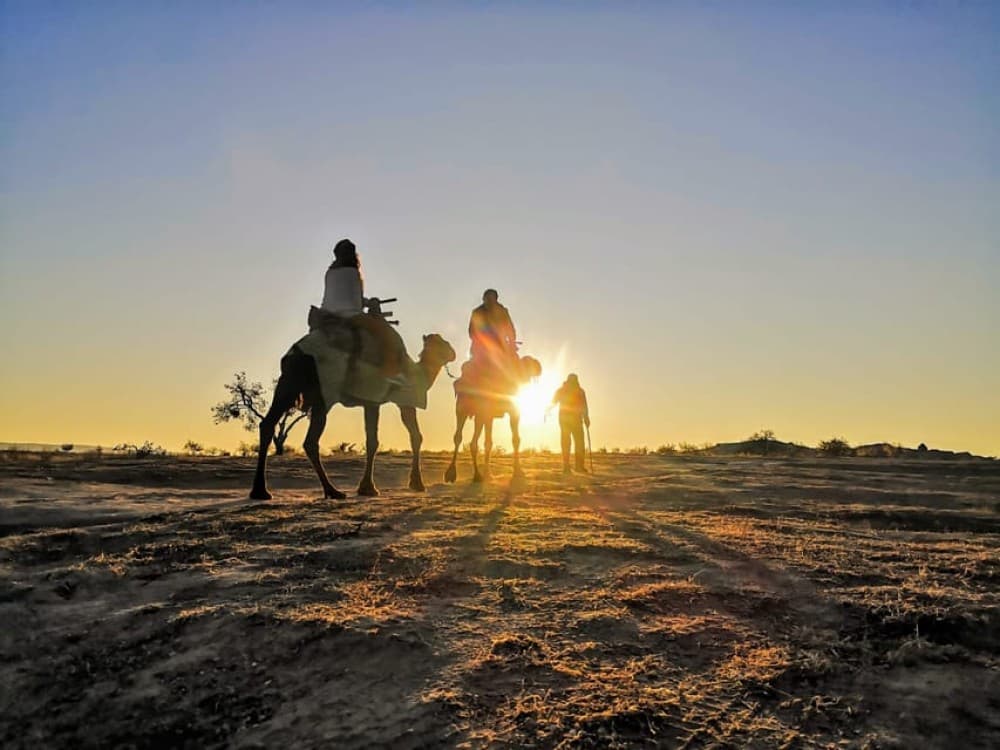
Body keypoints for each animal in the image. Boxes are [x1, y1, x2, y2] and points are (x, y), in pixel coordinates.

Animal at [250, 331, 456, 500]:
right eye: (443, 343)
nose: (453, 353)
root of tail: (297, 352)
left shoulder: (372, 401)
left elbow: (376, 439)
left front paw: (369, 487)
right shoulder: (398, 399)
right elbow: (411, 437)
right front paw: (414, 484)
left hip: (288, 382)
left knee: (267, 424)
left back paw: (260, 491)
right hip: (326, 390)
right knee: (310, 440)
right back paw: (332, 491)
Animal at [444, 354, 542, 484]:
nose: (538, 366)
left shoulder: (490, 415)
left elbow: (490, 442)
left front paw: (489, 474)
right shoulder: (511, 409)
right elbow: (514, 439)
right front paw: (518, 472)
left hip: (469, 410)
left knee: (461, 438)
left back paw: (470, 474)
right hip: (467, 409)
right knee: (466, 439)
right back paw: (464, 474)